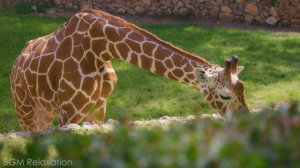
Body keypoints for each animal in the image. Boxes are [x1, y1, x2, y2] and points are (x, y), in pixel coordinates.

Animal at [9, 9, 248, 131]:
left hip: (45, 110)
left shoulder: (99, 107)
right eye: (225, 95)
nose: (246, 120)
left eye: (243, 89)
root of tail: (16, 63)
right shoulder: (69, 111)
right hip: (24, 108)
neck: (99, 49)